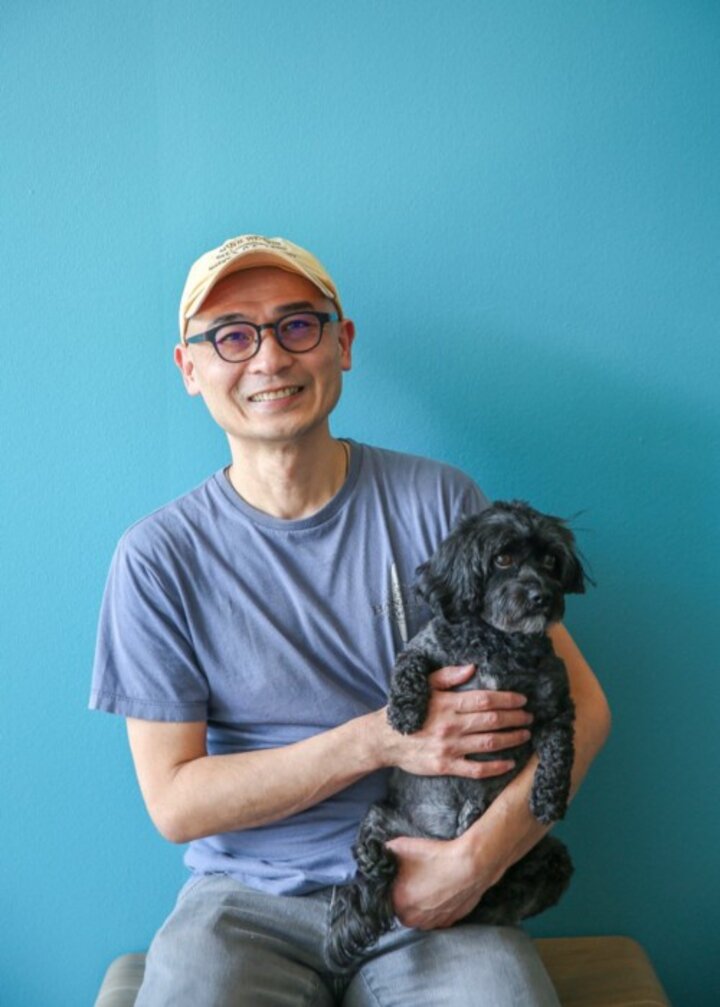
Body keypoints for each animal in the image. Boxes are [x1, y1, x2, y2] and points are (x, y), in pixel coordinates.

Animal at [326, 499, 584, 970]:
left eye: (550, 561)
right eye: (503, 558)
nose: (542, 596)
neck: (501, 641)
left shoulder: (556, 705)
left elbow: (559, 749)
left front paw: (549, 797)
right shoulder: (427, 647)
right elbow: (408, 665)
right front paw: (405, 711)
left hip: (550, 854)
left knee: (506, 895)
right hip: (383, 817)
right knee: (368, 854)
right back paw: (377, 861)